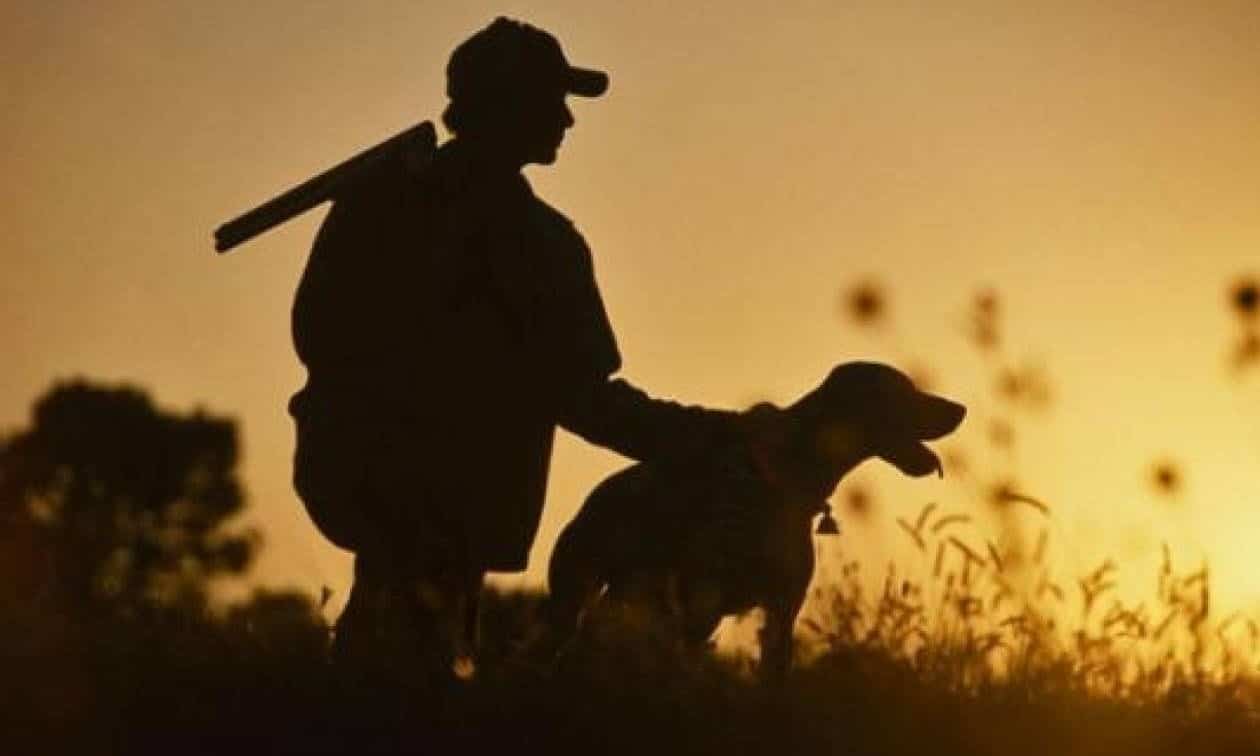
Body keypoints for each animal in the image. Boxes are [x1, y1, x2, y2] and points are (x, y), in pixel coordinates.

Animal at [546, 362, 967, 680]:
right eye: (905, 390)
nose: (960, 408)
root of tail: (597, 495)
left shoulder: (783, 609)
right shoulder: (701, 604)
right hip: (582, 590)